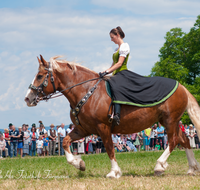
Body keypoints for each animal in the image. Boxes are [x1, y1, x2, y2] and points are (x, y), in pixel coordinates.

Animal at [25, 55, 200, 178]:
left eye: (39, 76)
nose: (27, 98)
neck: (87, 91)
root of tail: (181, 86)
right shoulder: (83, 129)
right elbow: (66, 142)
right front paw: (79, 163)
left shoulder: (103, 127)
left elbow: (109, 148)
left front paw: (114, 172)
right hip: (169, 121)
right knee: (184, 139)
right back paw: (192, 168)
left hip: (170, 120)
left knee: (173, 140)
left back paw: (159, 166)